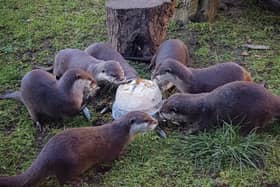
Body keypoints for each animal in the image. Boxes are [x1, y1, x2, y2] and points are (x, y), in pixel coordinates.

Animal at [0, 112, 158, 186]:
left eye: (150, 115)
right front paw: (125, 155)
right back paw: (76, 181)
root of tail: (45, 155)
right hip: (69, 163)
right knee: (62, 180)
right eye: (146, 120)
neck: (122, 133)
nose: (156, 121)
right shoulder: (114, 147)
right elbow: (113, 158)